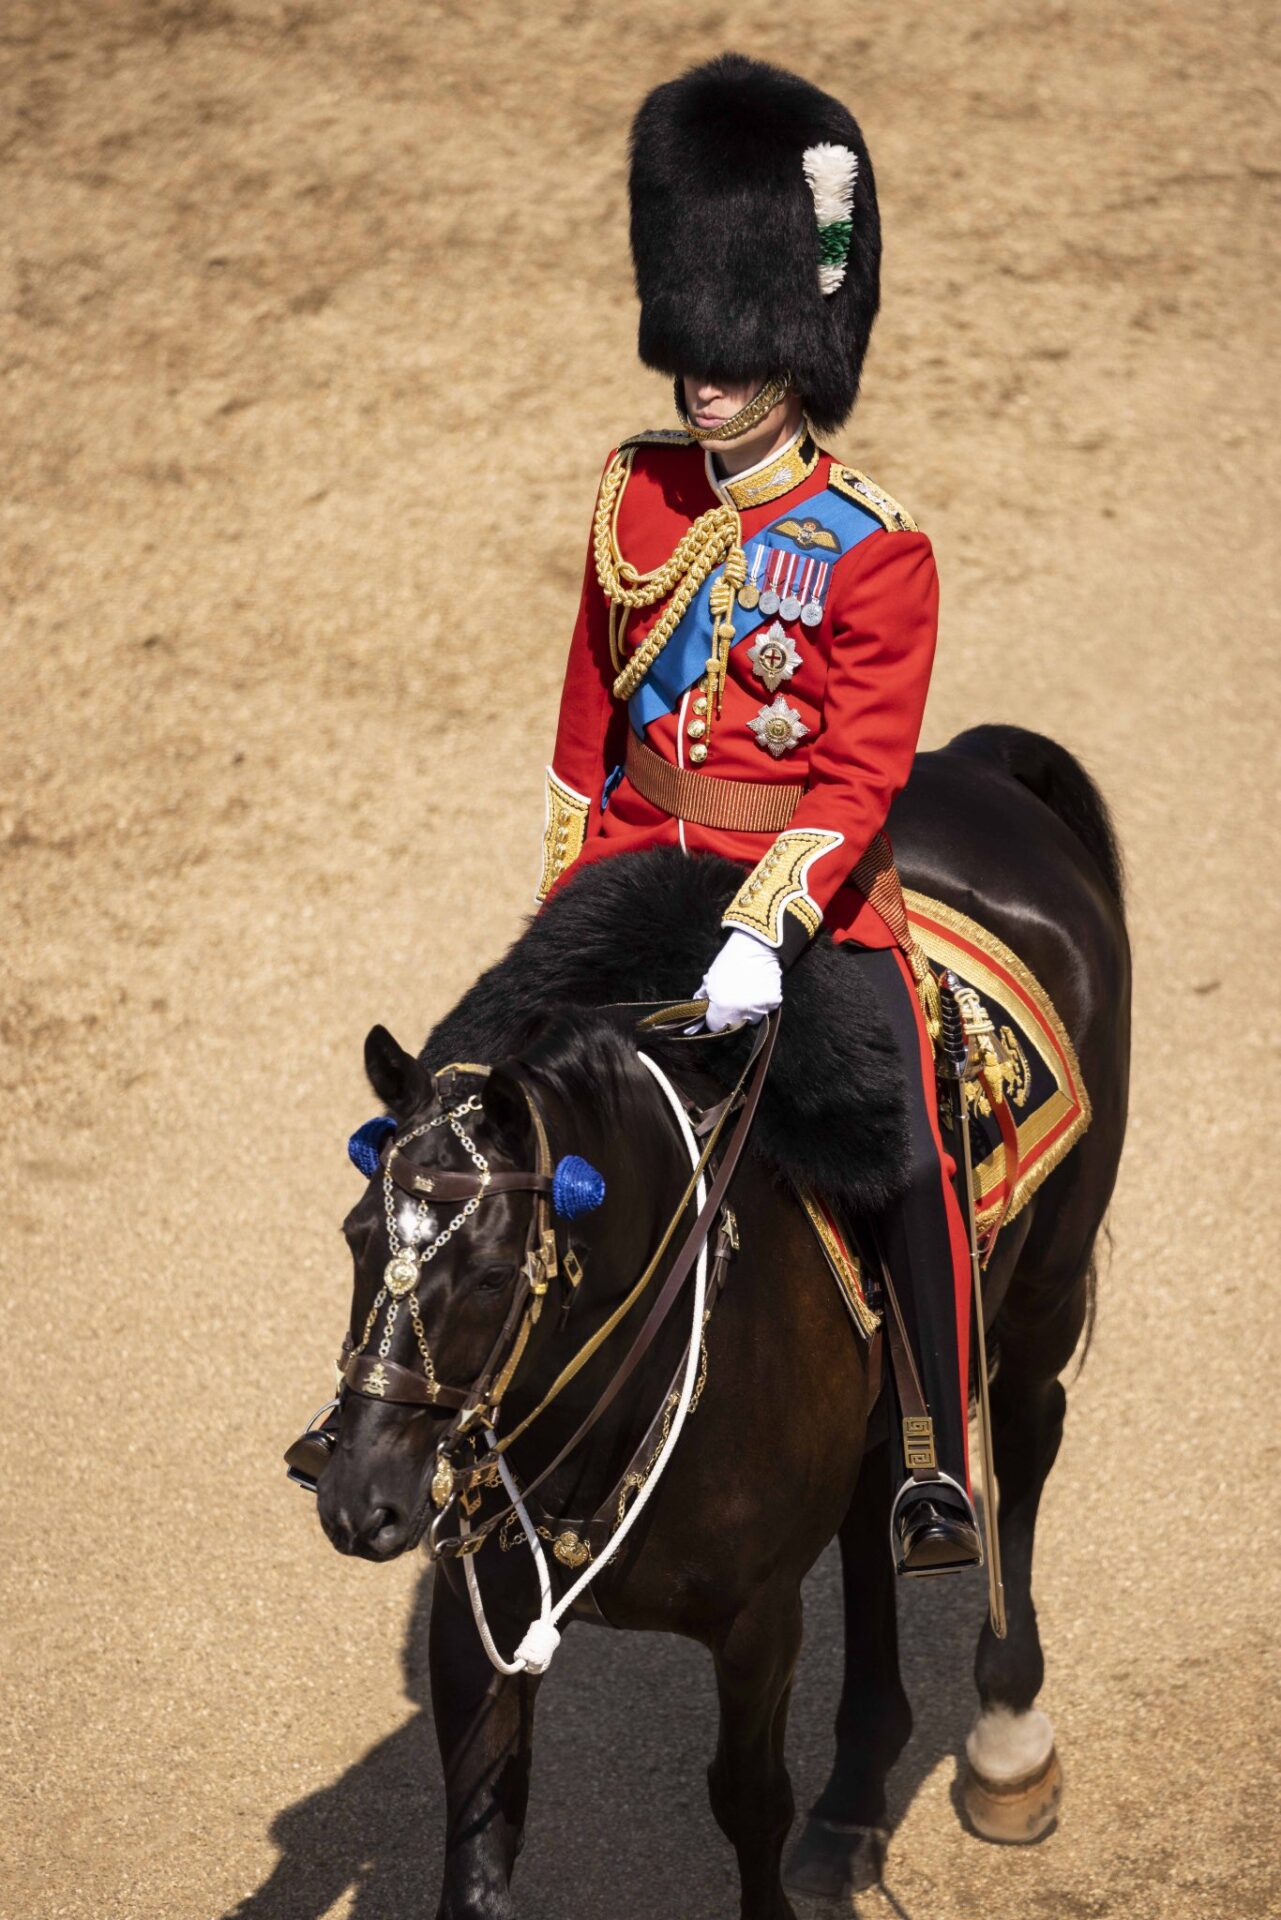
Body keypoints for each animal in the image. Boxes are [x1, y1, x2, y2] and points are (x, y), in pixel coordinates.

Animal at [311, 721, 1129, 1920]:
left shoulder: (755, 1621)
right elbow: (480, 1845)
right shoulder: (478, 1617)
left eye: (496, 1274)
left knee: (1022, 1440)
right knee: (880, 1506)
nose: (358, 1501)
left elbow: (746, 1800)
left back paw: (1005, 1740)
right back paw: (856, 1799)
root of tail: (977, 768)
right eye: (358, 1234)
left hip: (1039, 1292)